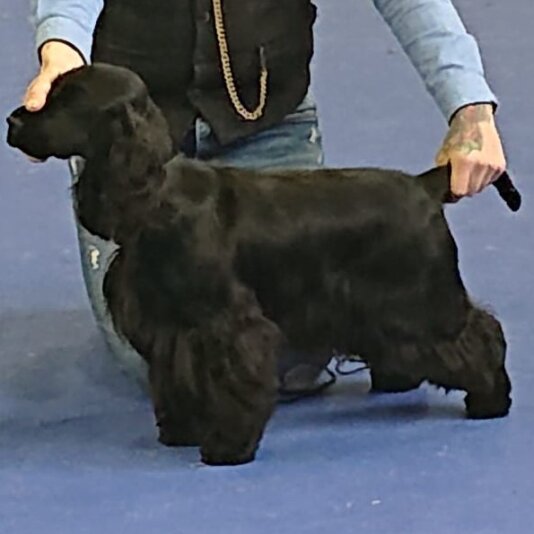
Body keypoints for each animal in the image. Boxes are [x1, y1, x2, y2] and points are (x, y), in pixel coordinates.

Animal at [6, 63, 520, 466]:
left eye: (71, 99)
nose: (12, 120)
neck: (156, 198)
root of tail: (424, 185)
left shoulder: (226, 322)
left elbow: (232, 379)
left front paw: (227, 446)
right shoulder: (171, 325)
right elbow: (176, 375)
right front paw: (179, 431)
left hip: (421, 295)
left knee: (480, 334)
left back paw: (490, 399)